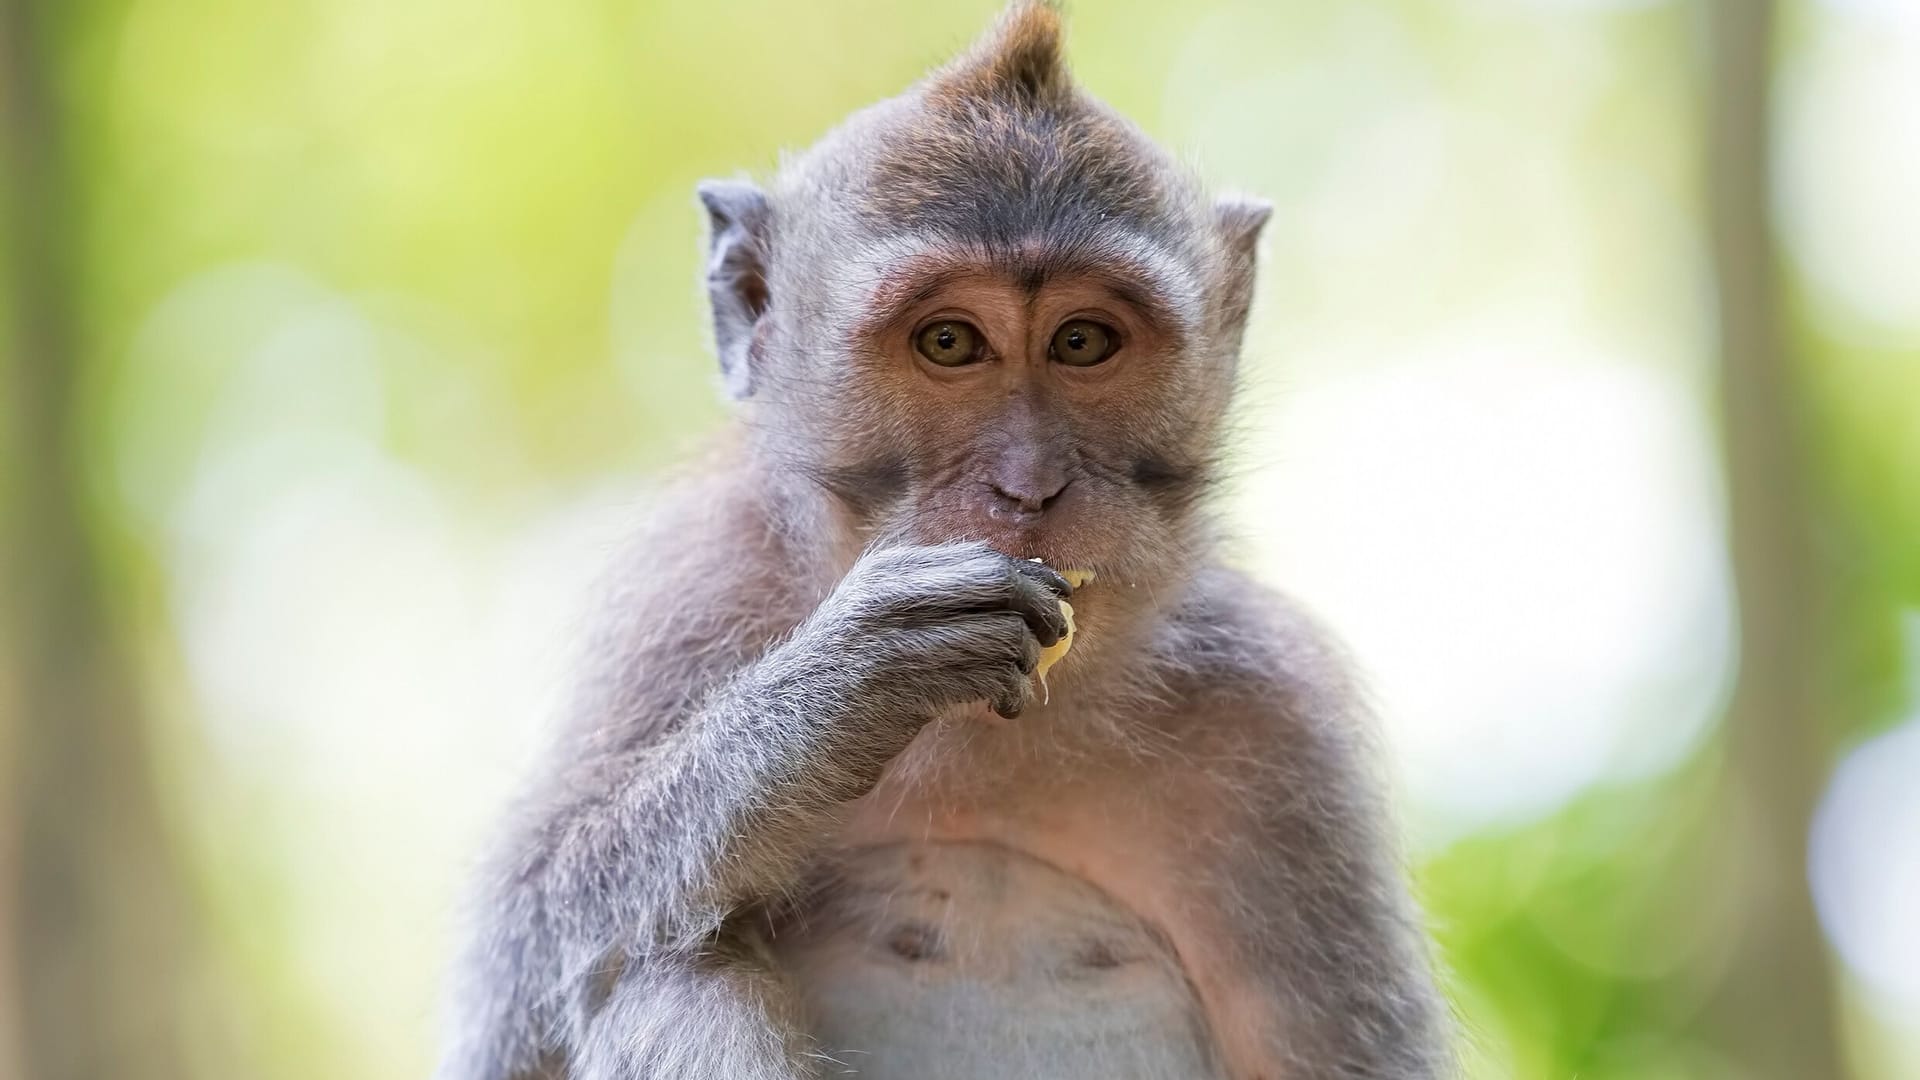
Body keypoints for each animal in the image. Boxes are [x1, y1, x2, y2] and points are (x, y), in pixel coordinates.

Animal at [435, 4, 1443, 1068]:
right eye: (950, 341)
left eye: (1082, 341)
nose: (1029, 485)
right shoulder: (689, 589)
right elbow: (522, 957)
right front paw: (834, 695)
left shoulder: (1282, 728)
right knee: (664, 960)